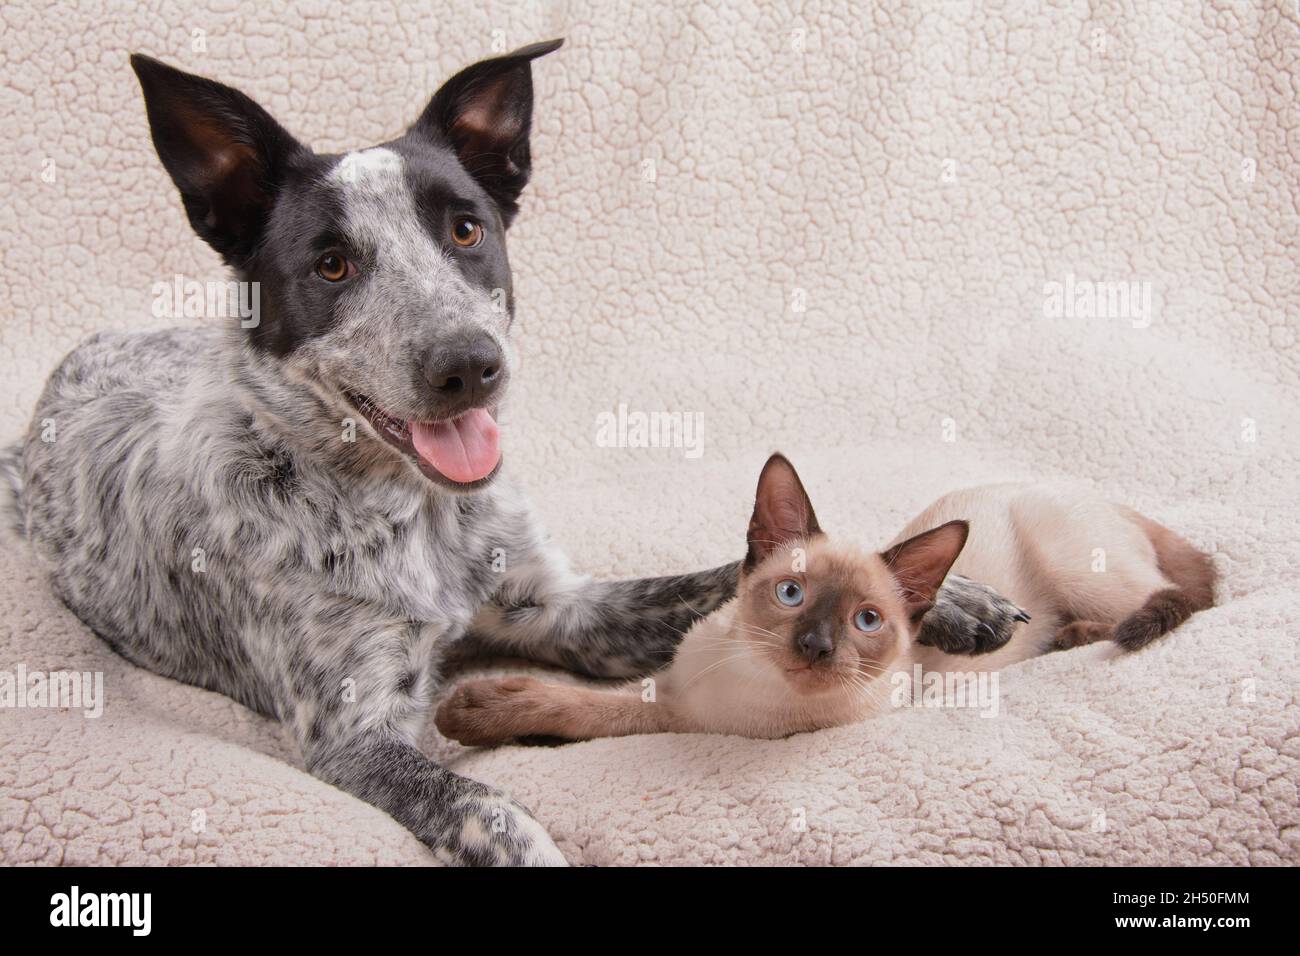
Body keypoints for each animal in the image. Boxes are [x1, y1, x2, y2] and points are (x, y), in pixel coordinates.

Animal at [2, 41, 1024, 868]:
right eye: (332, 264)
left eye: (467, 229)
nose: (470, 366)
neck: (419, 516)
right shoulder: (352, 733)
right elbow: (490, 808)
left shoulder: (561, 612)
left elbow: (713, 577)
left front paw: (951, 599)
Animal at [439, 452, 1216, 743]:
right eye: (789, 592)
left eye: (868, 620)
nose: (814, 645)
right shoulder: (669, 687)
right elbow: (580, 703)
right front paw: (482, 711)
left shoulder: (693, 720)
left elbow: (600, 714)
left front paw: (472, 712)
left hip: (1085, 569)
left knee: (1182, 591)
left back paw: (1079, 633)